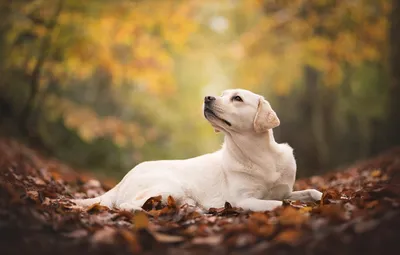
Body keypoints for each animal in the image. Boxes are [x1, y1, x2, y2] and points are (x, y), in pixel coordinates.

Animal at [74, 88, 322, 212]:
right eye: (223, 94)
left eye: (237, 98)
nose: (207, 97)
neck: (259, 156)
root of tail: (123, 179)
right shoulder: (243, 200)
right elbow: (279, 204)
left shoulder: (285, 191)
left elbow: (311, 192)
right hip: (170, 186)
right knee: (127, 205)